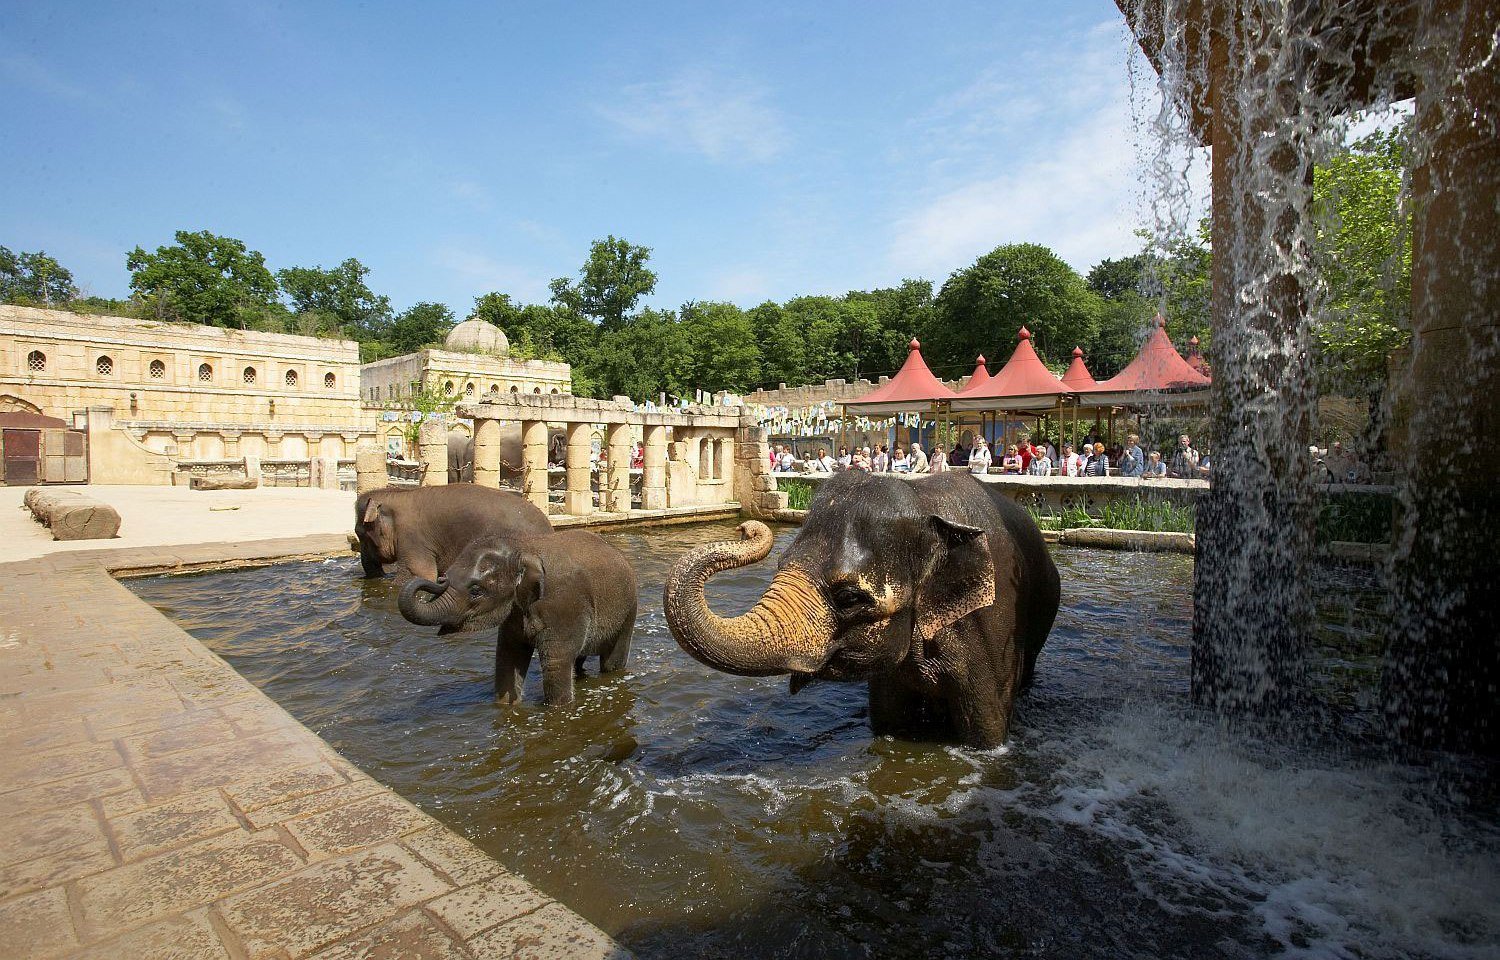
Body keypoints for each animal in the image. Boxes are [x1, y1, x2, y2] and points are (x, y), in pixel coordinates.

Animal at [396, 528, 636, 708]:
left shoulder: (564, 603)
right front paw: (506, 706)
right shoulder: (514, 611)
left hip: (628, 611)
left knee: (612, 661)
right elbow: (508, 657)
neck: (523, 547)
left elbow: (555, 663)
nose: (441, 578)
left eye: (476, 590)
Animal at [663, 474, 1062, 750]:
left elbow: (988, 732)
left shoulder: (990, 631)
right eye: (781, 563)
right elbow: (888, 722)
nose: (745, 526)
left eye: (850, 598)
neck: (923, 501)